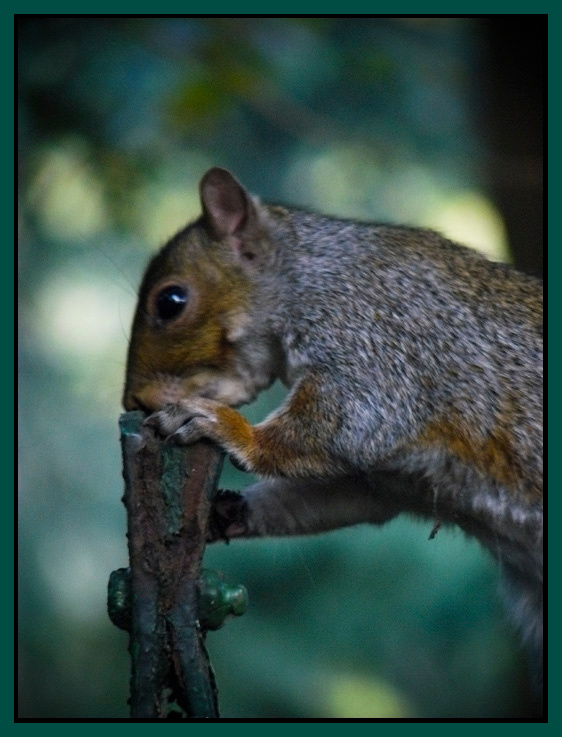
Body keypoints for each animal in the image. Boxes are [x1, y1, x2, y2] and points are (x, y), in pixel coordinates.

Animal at [123, 167, 543, 698]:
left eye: (171, 301)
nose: (132, 402)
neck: (309, 276)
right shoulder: (393, 482)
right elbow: (337, 497)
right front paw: (229, 511)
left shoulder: (379, 339)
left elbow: (351, 419)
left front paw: (227, 427)